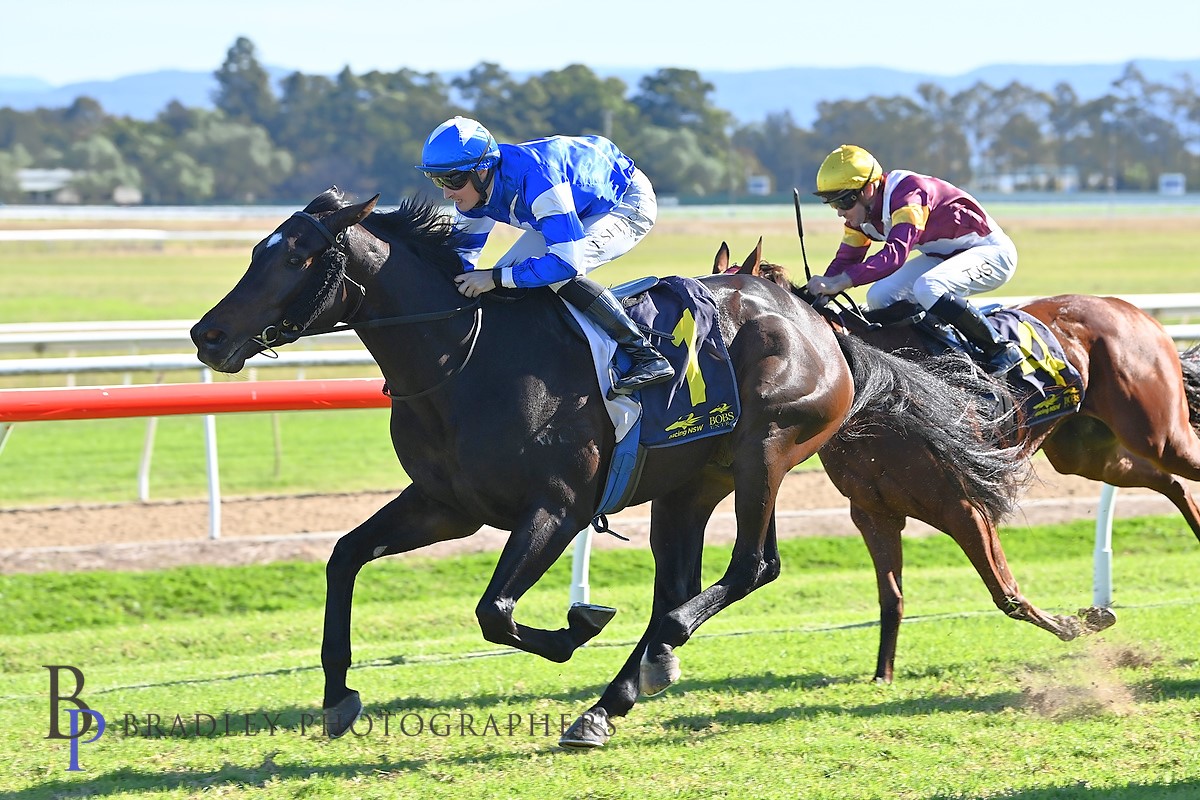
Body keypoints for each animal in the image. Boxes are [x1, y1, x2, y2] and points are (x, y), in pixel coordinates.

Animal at [192, 189, 1027, 753]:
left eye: (293, 256)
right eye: (256, 249)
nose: (206, 335)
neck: (465, 360)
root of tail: (817, 319)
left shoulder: (558, 507)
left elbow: (495, 611)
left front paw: (577, 627)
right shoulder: (446, 504)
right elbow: (344, 558)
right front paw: (337, 695)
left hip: (767, 448)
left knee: (749, 568)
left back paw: (630, 679)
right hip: (695, 480)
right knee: (686, 579)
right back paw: (630, 681)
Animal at [715, 242, 1200, 681]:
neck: (876, 391)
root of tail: (1131, 310)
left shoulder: (963, 505)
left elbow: (1006, 593)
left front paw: (1075, 623)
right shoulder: (873, 513)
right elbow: (891, 597)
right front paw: (882, 675)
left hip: (1159, 433)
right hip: (1085, 453)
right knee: (1169, 482)